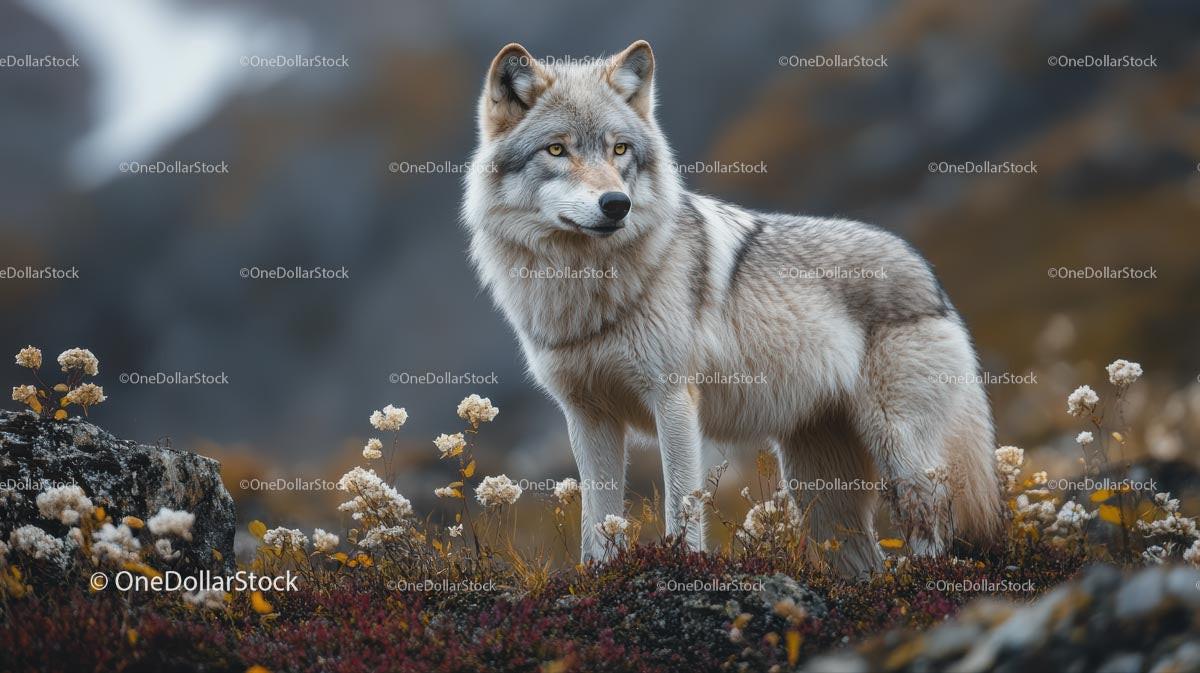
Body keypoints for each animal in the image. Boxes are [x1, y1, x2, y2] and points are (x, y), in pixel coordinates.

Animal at [461, 40, 1003, 577]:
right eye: (557, 149)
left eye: (619, 150)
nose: (617, 204)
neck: (583, 286)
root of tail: (929, 275)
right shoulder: (587, 416)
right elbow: (597, 523)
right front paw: (598, 576)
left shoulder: (674, 401)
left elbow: (681, 504)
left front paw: (685, 566)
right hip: (820, 494)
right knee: (865, 560)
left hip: (900, 456)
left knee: (934, 527)